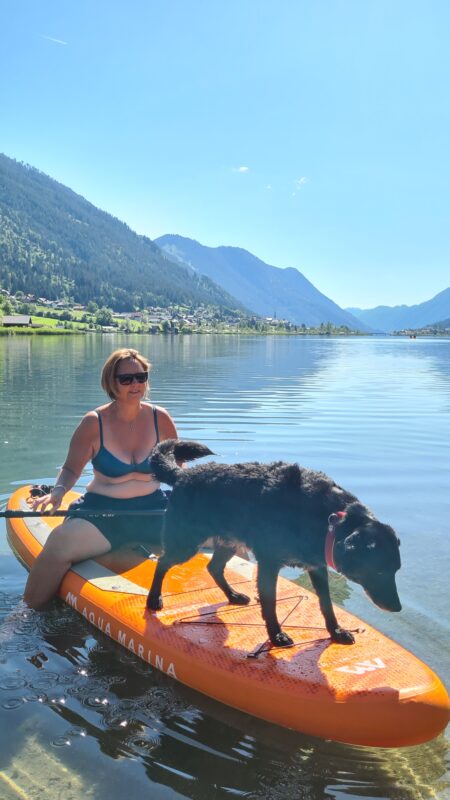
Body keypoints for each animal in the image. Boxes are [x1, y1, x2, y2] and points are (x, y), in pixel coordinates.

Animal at [147, 440, 400, 648]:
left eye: (395, 570)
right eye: (379, 571)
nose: (397, 608)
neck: (327, 519)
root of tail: (182, 475)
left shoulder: (317, 567)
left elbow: (327, 604)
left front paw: (336, 631)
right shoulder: (269, 563)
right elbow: (270, 603)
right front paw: (276, 635)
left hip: (229, 542)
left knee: (213, 567)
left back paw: (233, 595)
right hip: (185, 542)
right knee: (162, 562)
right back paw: (153, 599)